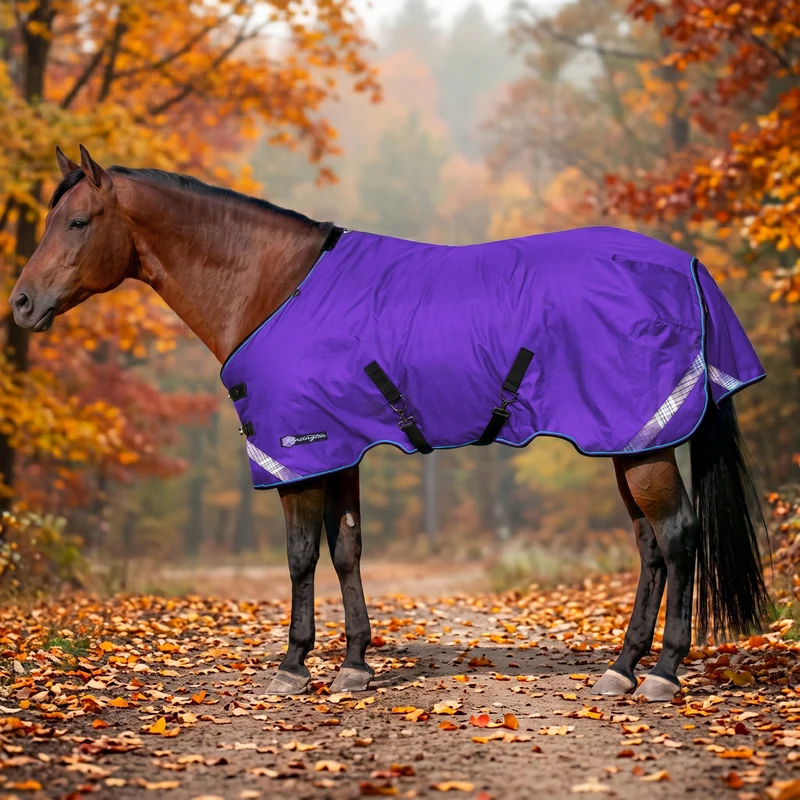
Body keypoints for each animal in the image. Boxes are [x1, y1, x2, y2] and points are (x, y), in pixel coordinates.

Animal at [9, 146, 769, 701]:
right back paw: (622, 667)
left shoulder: (297, 452)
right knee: (650, 547)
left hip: (642, 443)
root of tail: (686, 266)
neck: (275, 288)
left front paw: (293, 665)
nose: (20, 304)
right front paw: (353, 664)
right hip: (628, 440)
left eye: (77, 222)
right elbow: (346, 550)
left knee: (678, 537)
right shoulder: (338, 449)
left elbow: (299, 557)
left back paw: (662, 674)